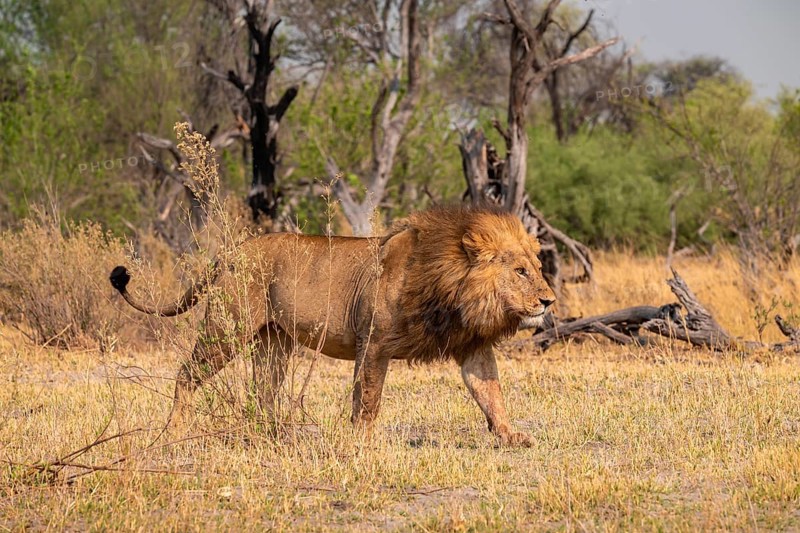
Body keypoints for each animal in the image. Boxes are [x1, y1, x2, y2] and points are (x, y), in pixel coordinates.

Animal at [109, 205, 555, 446]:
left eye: (537, 267)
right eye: (520, 271)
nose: (549, 300)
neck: (451, 289)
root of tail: (234, 249)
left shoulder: (473, 345)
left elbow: (490, 392)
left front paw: (510, 435)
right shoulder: (373, 343)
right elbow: (368, 399)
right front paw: (363, 443)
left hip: (275, 342)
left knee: (263, 390)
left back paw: (273, 435)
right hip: (227, 328)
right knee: (186, 375)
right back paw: (173, 434)